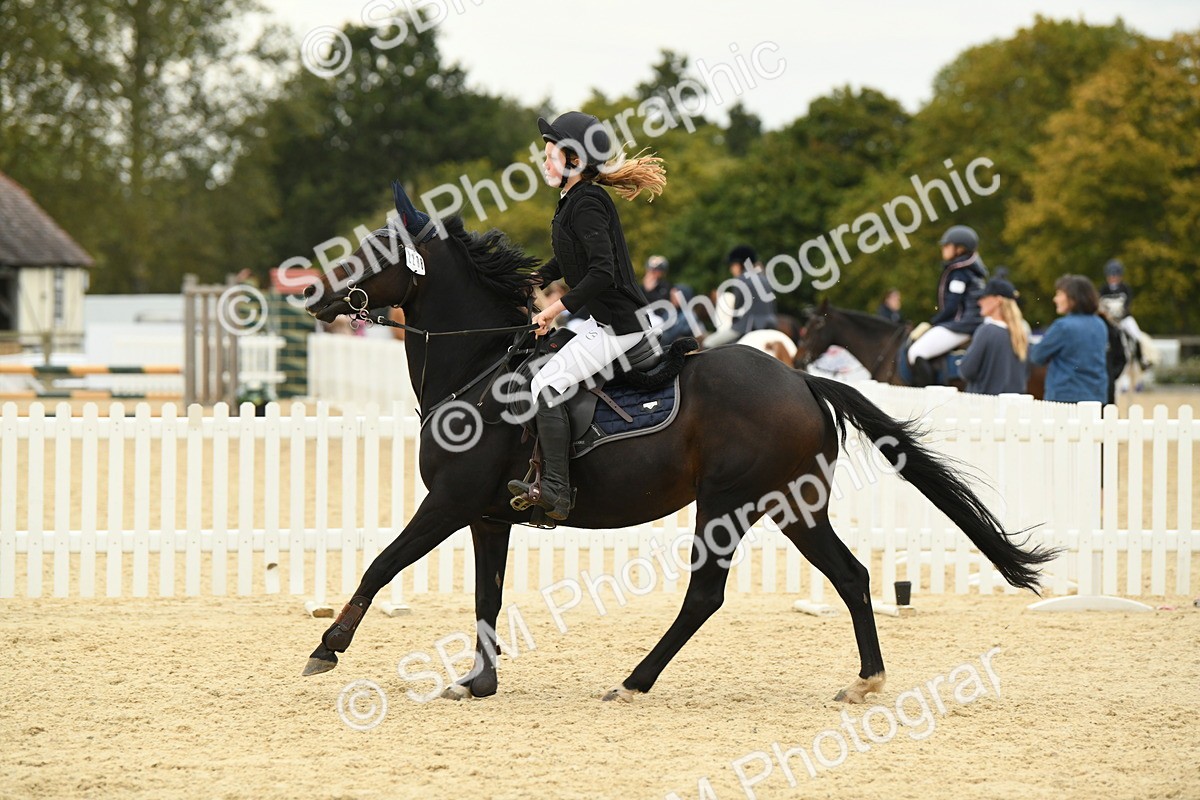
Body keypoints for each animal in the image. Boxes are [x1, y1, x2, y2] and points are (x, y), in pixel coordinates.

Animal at [300, 214, 1056, 704]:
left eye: (371, 256)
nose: (312, 293)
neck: (479, 369)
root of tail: (802, 380)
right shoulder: (488, 516)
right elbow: (488, 595)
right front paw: (480, 682)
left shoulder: (450, 503)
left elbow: (380, 565)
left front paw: (327, 648)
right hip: (794, 507)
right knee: (850, 575)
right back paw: (866, 681)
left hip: (725, 504)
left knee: (705, 595)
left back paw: (635, 681)